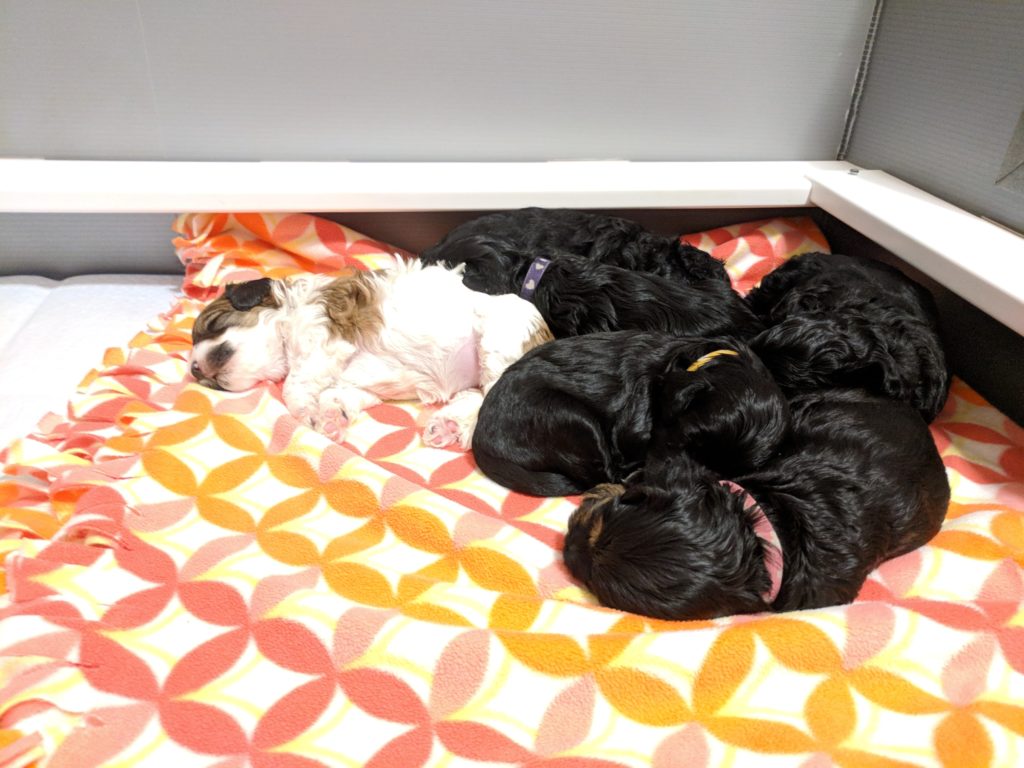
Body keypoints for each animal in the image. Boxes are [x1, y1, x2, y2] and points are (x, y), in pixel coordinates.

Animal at [187, 262, 552, 448]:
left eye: (213, 324)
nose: (193, 369)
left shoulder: (324, 337)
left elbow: (294, 386)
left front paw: (307, 412)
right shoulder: (355, 382)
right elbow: (340, 395)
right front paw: (332, 416)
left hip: (499, 341)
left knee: (490, 396)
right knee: (474, 397)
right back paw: (448, 424)